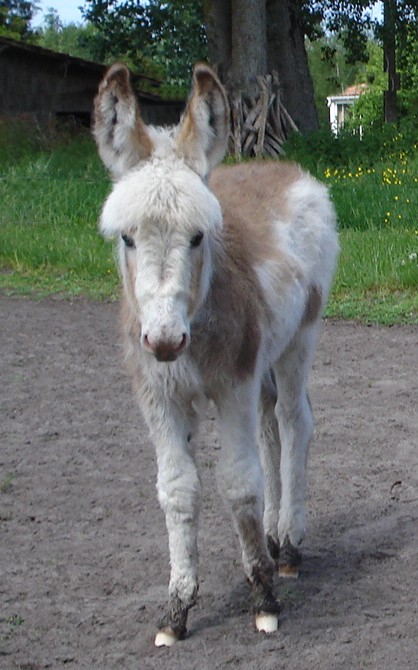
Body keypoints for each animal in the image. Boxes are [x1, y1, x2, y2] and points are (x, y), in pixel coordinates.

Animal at [94, 63, 340, 644]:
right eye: (127, 239)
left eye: (198, 237)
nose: (164, 340)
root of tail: (278, 166)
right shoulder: (159, 396)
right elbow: (178, 490)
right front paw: (177, 610)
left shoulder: (233, 384)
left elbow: (238, 482)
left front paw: (264, 599)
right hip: (265, 360)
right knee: (271, 426)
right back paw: (271, 537)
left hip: (299, 339)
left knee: (294, 421)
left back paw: (288, 545)